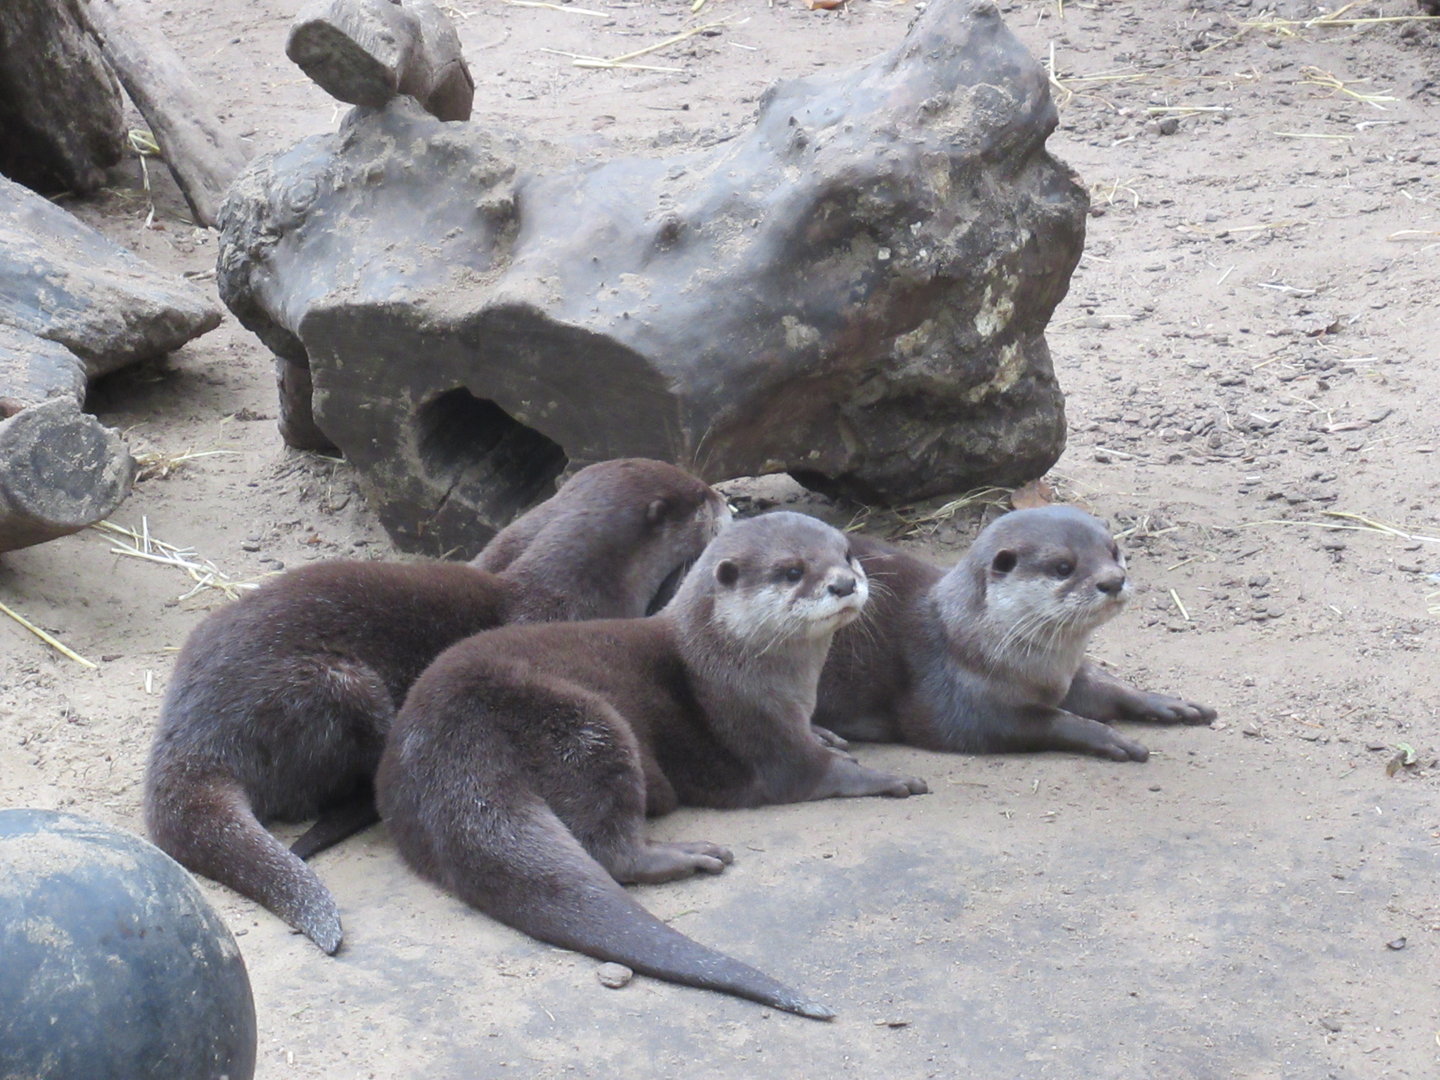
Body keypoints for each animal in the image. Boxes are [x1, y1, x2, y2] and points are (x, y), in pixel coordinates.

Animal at [375, 511, 928, 1018]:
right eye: (792, 570)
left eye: (847, 555)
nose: (844, 582)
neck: (737, 665)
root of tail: (444, 738)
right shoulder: (762, 735)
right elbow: (818, 772)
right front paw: (891, 777)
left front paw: (830, 732)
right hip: (586, 727)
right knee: (610, 849)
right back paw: (689, 856)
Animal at [815, 505, 1216, 761]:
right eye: (1063, 567)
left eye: (1114, 551)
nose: (1113, 580)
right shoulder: (951, 701)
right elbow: (1044, 720)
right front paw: (1108, 736)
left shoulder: (1065, 678)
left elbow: (1106, 686)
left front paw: (1166, 702)